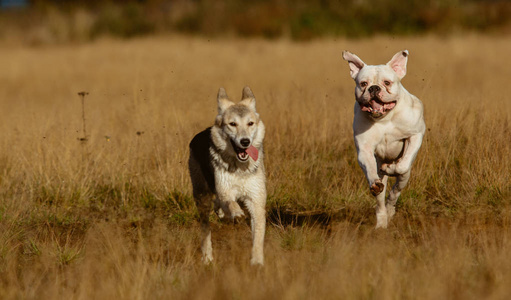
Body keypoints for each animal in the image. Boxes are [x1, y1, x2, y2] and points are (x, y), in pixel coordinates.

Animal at [189, 86, 268, 264]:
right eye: (233, 124)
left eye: (250, 123)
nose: (245, 141)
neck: (240, 168)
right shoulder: (226, 191)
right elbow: (230, 203)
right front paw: (237, 213)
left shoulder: (256, 201)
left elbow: (258, 238)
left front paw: (257, 262)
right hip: (202, 198)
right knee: (205, 229)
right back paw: (207, 257)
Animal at [344, 49, 428, 227]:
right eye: (363, 84)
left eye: (387, 83)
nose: (374, 88)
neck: (385, 117)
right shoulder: (364, 149)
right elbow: (370, 167)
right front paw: (377, 180)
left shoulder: (415, 135)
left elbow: (402, 165)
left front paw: (391, 168)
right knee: (380, 200)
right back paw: (382, 221)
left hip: (404, 178)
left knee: (395, 192)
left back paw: (390, 208)